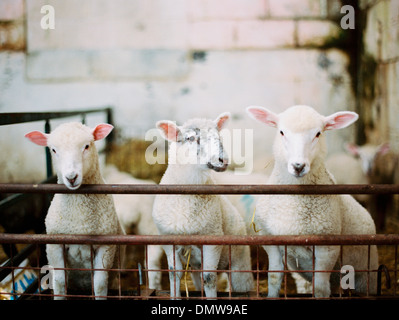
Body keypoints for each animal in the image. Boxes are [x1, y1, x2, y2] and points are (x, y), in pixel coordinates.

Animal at [25, 122, 125, 300]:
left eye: (86, 146)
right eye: (53, 150)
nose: (71, 177)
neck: (79, 220)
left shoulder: (106, 246)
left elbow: (100, 283)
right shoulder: (55, 245)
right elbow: (59, 281)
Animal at [152, 113, 255, 300]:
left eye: (219, 137)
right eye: (191, 138)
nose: (223, 160)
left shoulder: (212, 238)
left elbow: (209, 277)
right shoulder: (167, 239)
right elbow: (174, 274)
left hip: (239, 263)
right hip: (195, 266)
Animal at [245, 105, 380, 298]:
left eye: (318, 134)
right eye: (281, 132)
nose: (298, 166)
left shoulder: (327, 249)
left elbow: (321, 288)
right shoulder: (271, 242)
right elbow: (274, 278)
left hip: (367, 274)